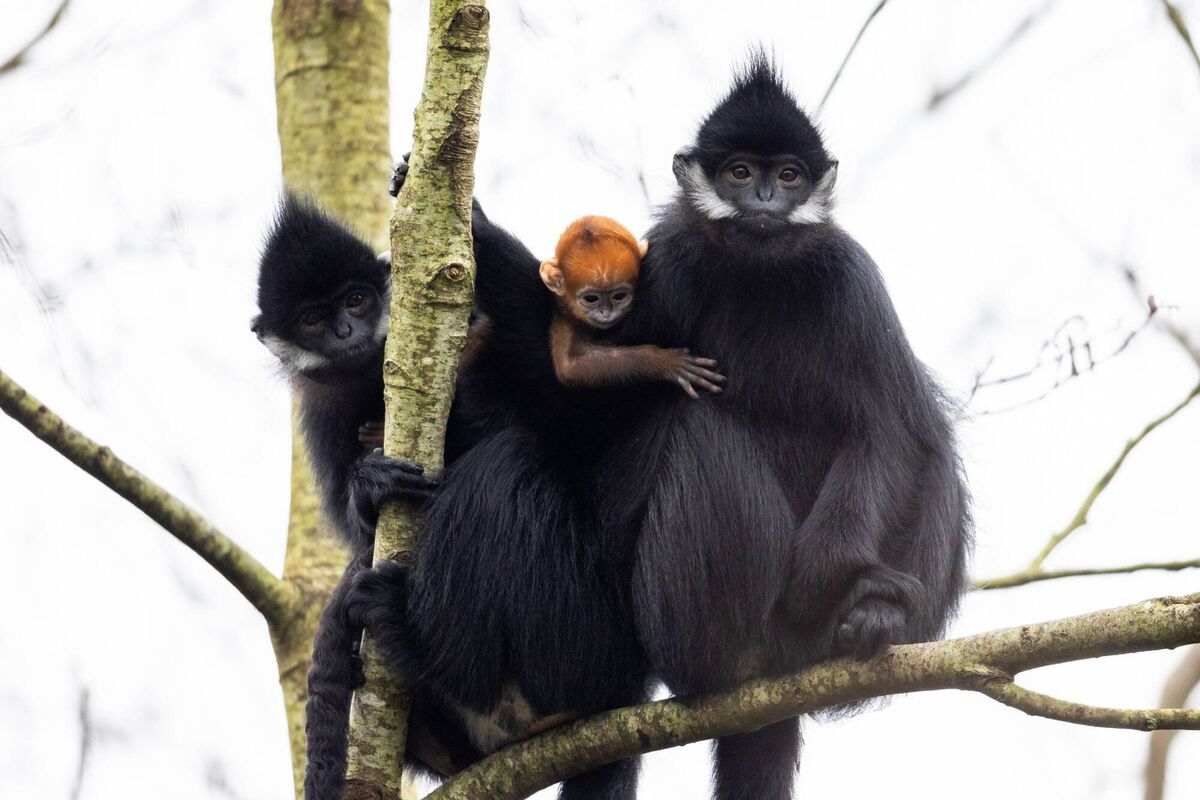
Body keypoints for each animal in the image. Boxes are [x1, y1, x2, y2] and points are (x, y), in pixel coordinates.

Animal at [540, 215, 724, 398]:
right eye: (591, 299)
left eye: (619, 296)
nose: (606, 313)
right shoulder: (566, 316)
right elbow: (570, 365)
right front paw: (667, 362)